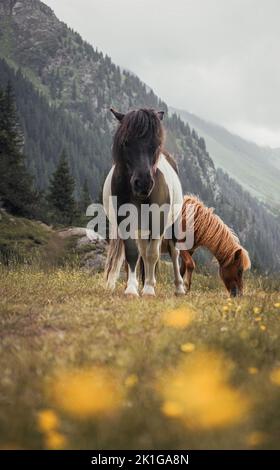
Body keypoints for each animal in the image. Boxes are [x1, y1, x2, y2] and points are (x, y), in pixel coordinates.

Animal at [102, 108, 184, 296]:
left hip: (173, 224)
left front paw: (148, 289)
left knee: (174, 252)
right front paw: (132, 289)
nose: (143, 183)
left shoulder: (158, 221)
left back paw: (178, 287)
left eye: (156, 144)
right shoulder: (125, 221)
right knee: (142, 252)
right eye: (126, 142)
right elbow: (133, 253)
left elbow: (153, 253)